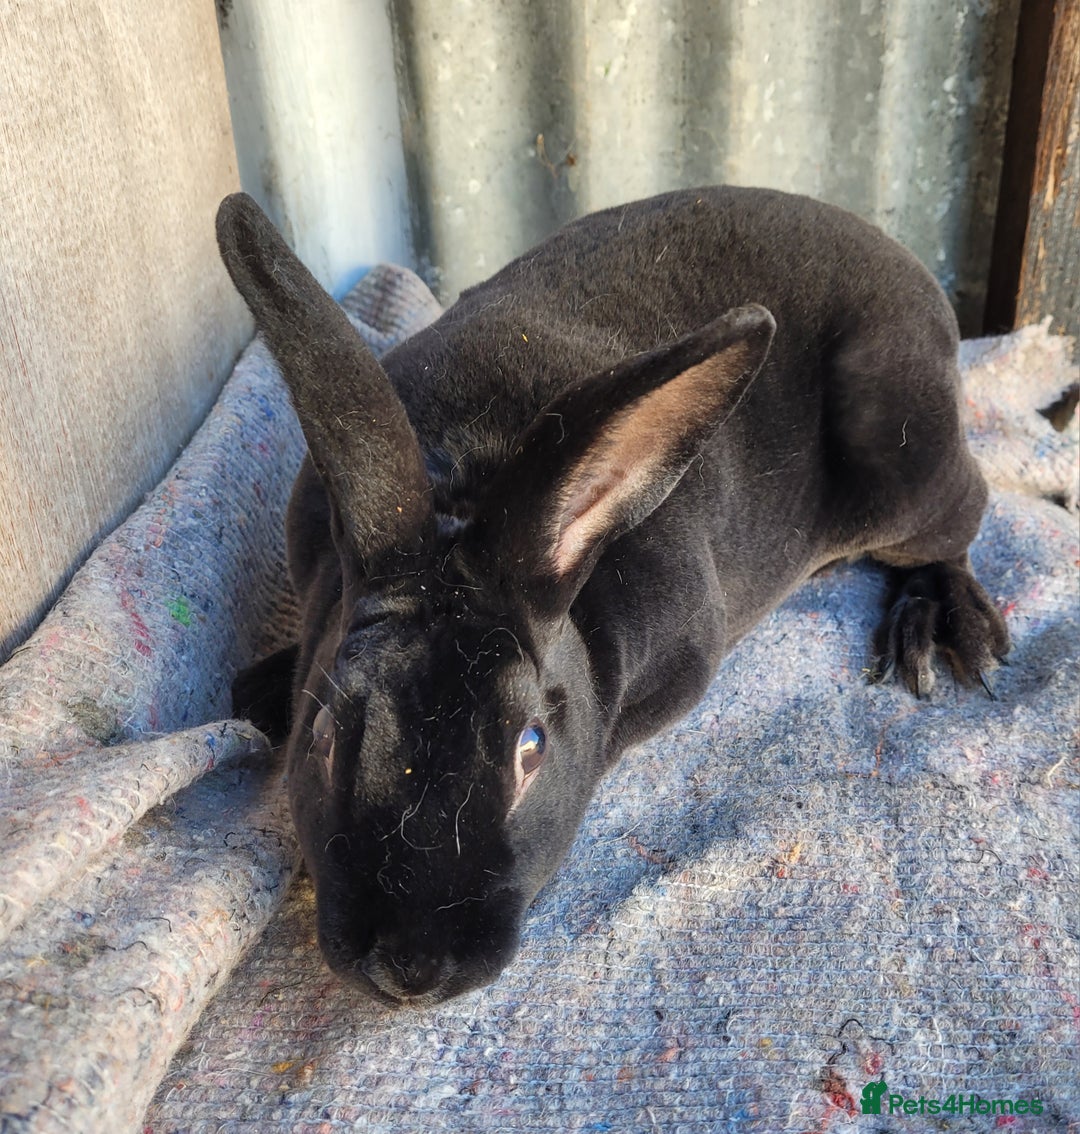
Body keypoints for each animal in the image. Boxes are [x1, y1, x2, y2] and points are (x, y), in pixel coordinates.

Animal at [216, 186, 1009, 1006]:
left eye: (531, 747)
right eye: (322, 733)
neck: (462, 495)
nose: (409, 970)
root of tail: (913, 275)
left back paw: (943, 631)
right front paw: (262, 687)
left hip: (905, 466)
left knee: (961, 521)